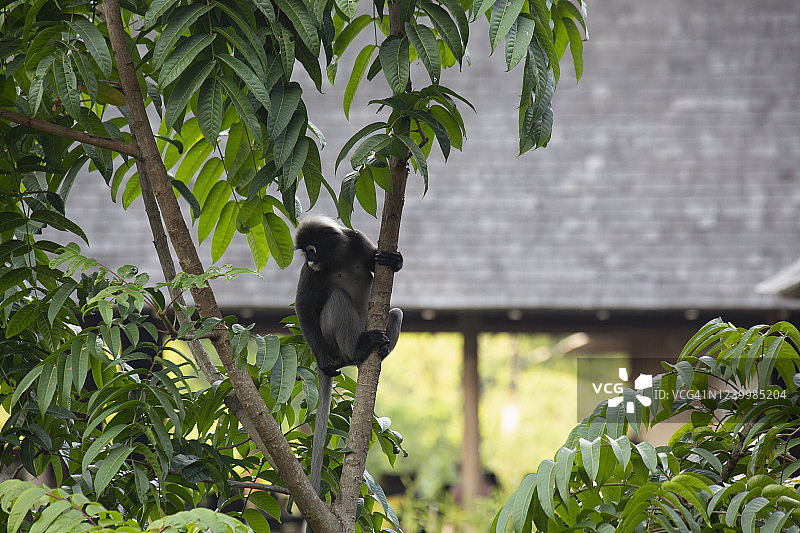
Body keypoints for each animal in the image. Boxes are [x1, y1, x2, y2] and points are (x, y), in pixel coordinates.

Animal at [294, 215, 403, 497]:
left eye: (311, 249)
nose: (310, 260)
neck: (336, 257)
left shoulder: (356, 239)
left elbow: (376, 259)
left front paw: (395, 261)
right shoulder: (311, 273)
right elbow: (304, 305)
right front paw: (322, 362)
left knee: (396, 312)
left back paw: (381, 349)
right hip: (332, 342)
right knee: (336, 298)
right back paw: (359, 350)